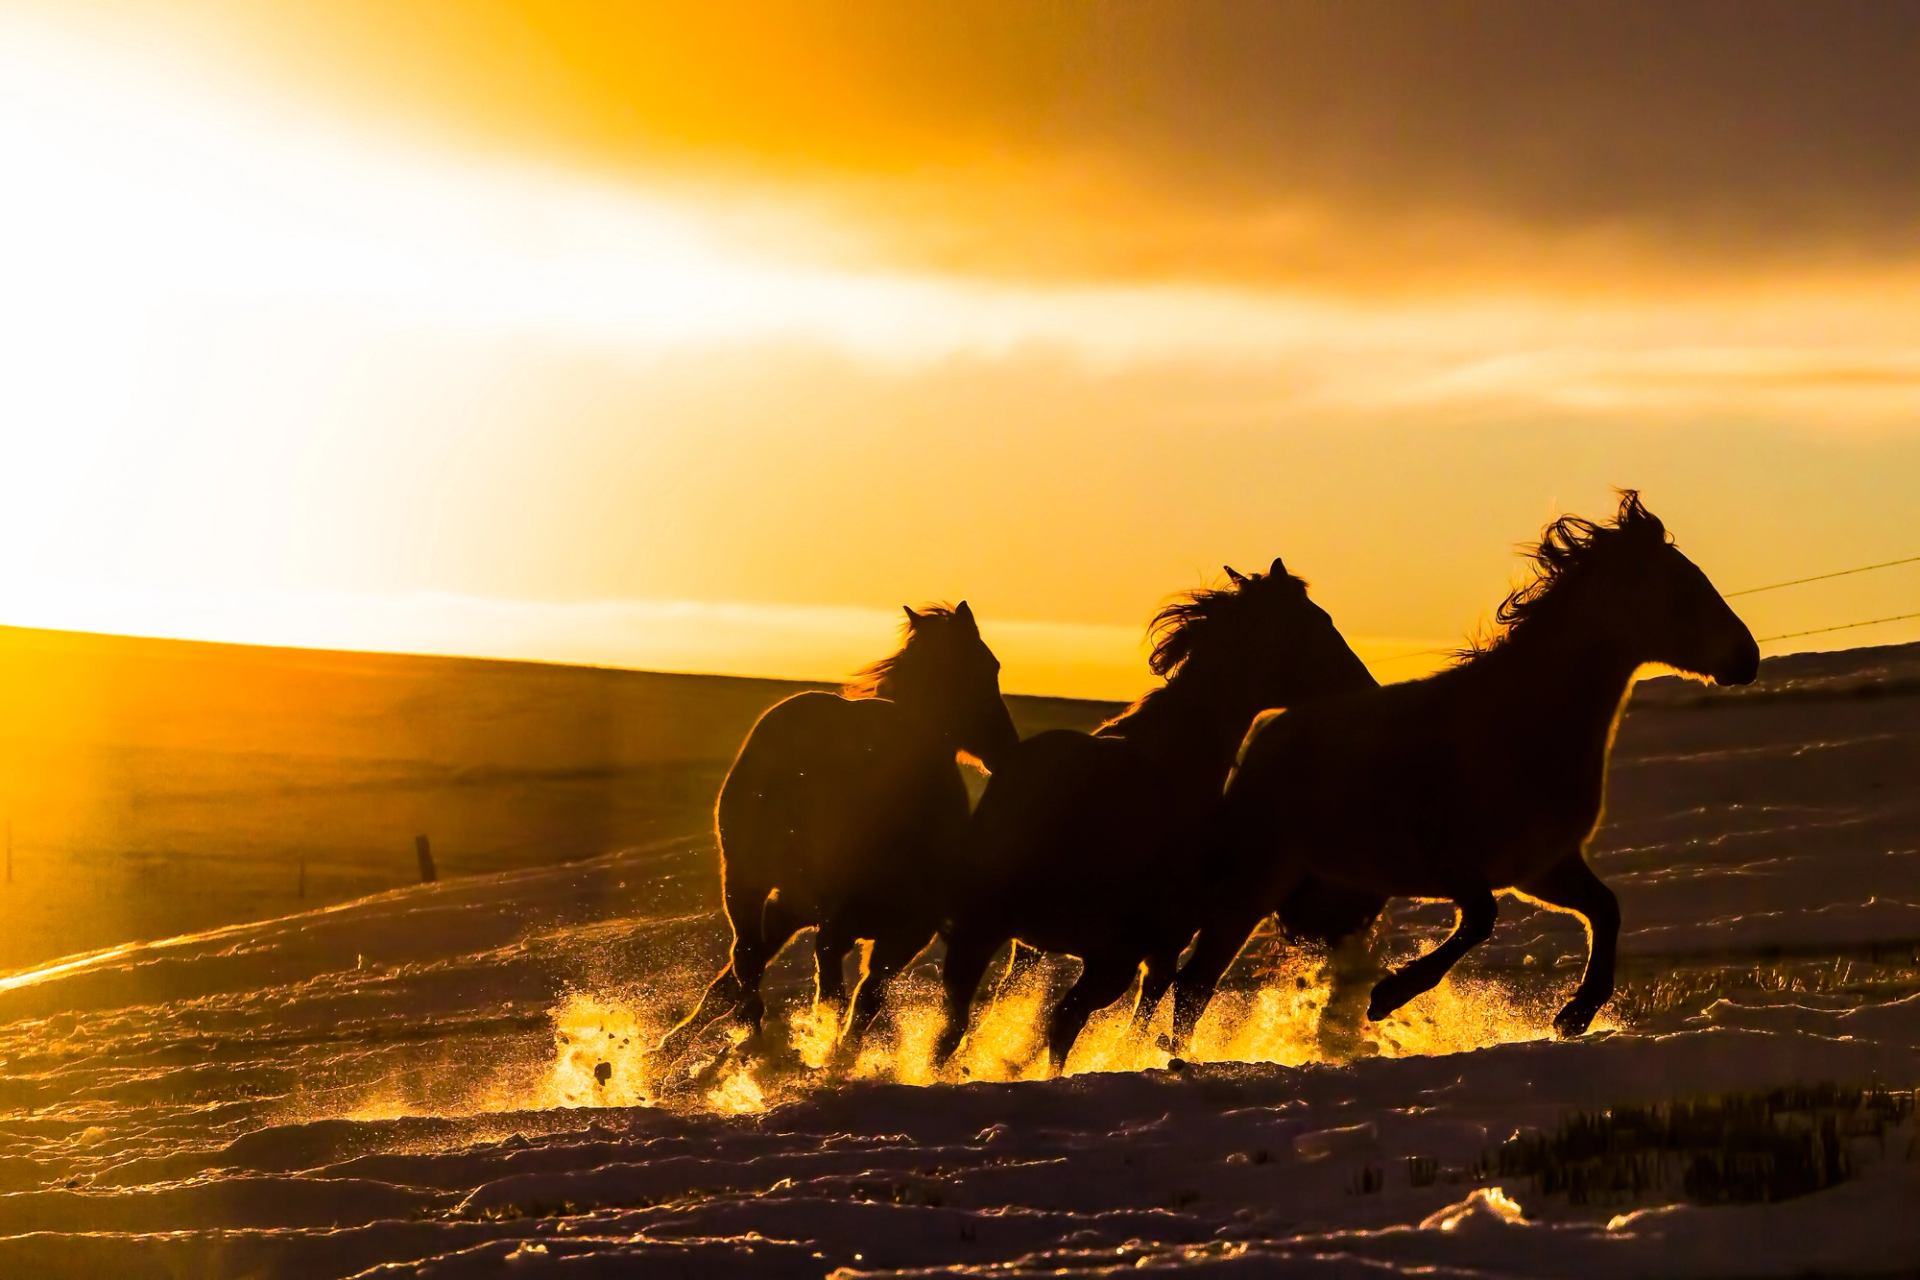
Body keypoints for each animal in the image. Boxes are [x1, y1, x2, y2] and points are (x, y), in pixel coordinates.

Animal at [652, 601, 1020, 1073]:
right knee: (781, 975)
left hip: (756, 887)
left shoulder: (802, 913)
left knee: (745, 965)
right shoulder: (893, 933)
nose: (1005, 750)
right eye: (990, 666)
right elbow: (853, 1000)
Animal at [931, 560, 1377, 1074]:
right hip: (1101, 958)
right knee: (1063, 1021)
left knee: (956, 1028)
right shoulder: (1154, 948)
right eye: (1319, 621)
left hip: (989, 936)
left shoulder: (1057, 949)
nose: (1367, 687)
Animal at [1169, 492, 1759, 1053]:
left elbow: (1605, 910)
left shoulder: (1542, 868)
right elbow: (1481, 919)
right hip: (1252, 885)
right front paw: (1389, 994)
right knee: (1192, 984)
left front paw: (1574, 1016)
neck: (1522, 725)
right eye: (1682, 589)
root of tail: (1259, 740)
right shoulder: (1453, 861)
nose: (1748, 658)